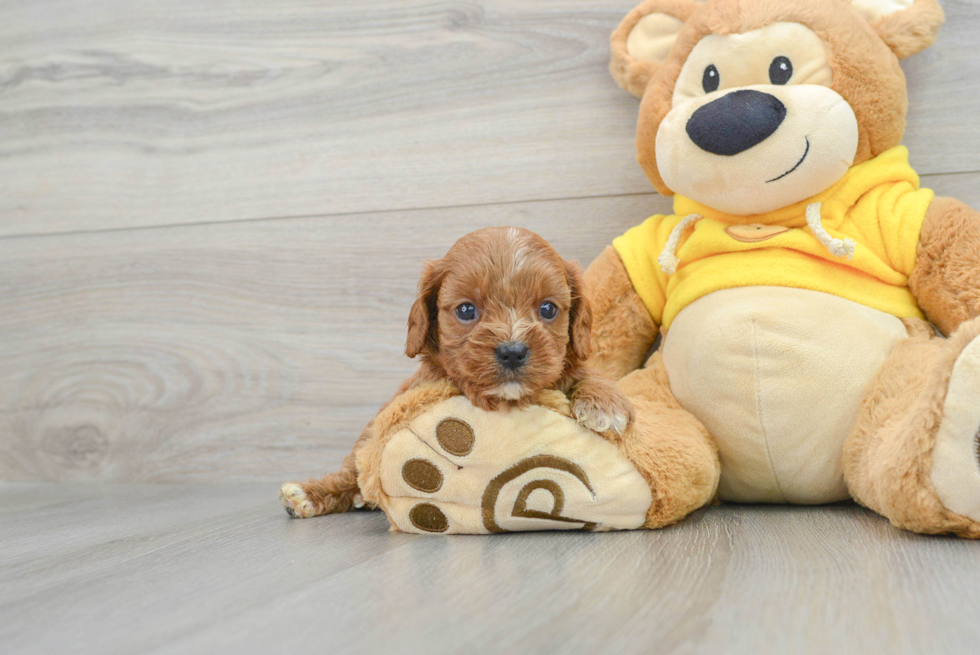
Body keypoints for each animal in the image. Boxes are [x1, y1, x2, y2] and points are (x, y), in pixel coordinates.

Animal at [284, 228, 636, 520]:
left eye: (548, 309)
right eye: (466, 310)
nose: (512, 351)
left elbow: (585, 371)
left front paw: (604, 404)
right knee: (352, 470)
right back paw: (312, 495)